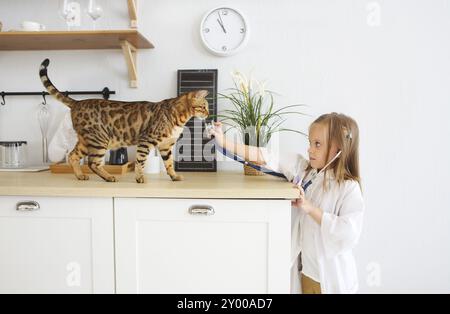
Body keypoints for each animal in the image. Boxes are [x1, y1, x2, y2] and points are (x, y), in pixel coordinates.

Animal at [39, 58, 208, 184]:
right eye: (204, 106)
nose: (208, 113)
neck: (179, 117)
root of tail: (77, 102)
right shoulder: (146, 140)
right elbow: (140, 161)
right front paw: (140, 178)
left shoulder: (166, 145)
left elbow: (169, 163)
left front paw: (174, 176)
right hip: (99, 139)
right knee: (93, 162)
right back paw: (109, 177)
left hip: (86, 141)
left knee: (73, 156)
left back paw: (80, 175)